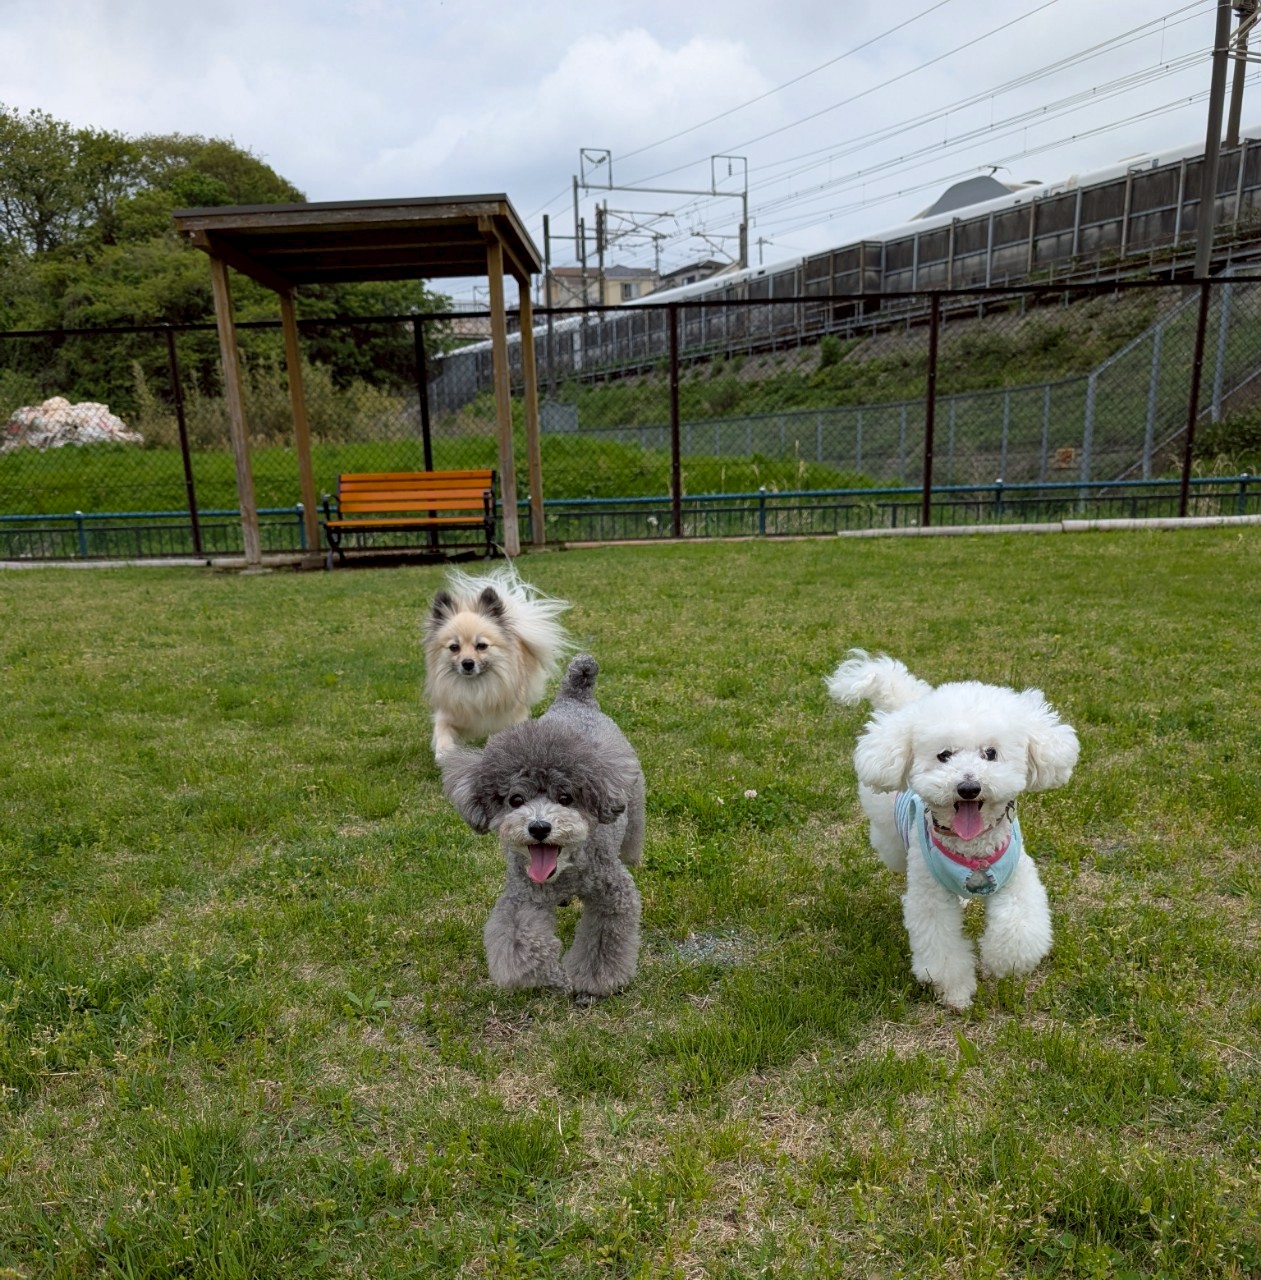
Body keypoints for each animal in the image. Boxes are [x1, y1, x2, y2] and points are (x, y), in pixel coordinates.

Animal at [422, 564, 572, 761]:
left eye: (481, 646)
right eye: (454, 647)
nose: (467, 663)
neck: (476, 686)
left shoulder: (510, 717)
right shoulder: (449, 713)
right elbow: (442, 730)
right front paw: (444, 752)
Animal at [441, 655, 645, 999]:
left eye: (565, 798)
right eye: (515, 800)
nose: (538, 828)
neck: (565, 873)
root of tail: (576, 697)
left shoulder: (613, 893)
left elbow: (604, 939)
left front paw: (593, 982)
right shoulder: (522, 897)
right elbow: (520, 941)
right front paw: (550, 977)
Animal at [827, 650, 1079, 1011]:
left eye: (991, 753)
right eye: (944, 755)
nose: (968, 788)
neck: (973, 848)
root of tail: (906, 707)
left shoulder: (1017, 878)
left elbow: (1018, 931)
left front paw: (999, 963)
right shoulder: (929, 896)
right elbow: (941, 948)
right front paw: (956, 992)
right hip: (890, 838)